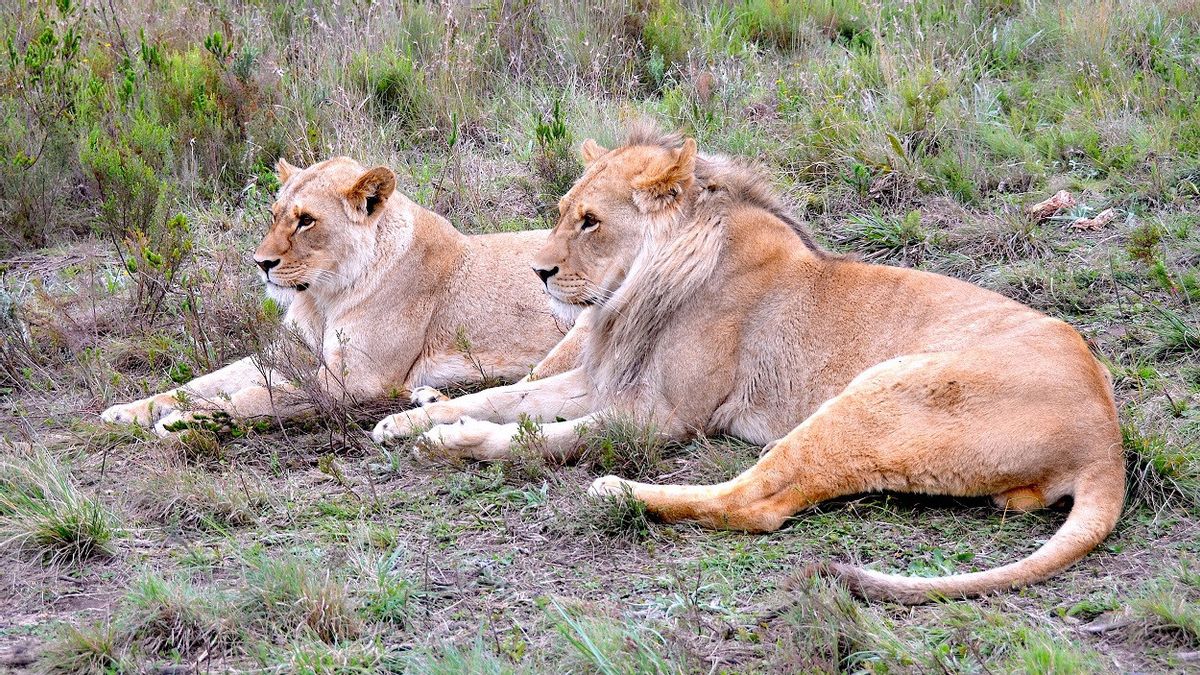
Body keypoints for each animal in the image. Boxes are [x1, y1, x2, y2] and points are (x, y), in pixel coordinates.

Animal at [98, 156, 576, 432]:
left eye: (306, 220)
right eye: (273, 214)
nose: (260, 263)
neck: (322, 296)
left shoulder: (356, 379)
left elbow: (259, 396)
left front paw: (186, 420)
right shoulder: (284, 352)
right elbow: (200, 382)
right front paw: (131, 410)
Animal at [372, 128, 1123, 600]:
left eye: (590, 221)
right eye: (561, 212)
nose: (538, 271)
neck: (642, 285)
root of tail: (1108, 441)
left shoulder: (663, 416)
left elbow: (546, 436)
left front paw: (455, 441)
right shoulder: (600, 377)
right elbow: (504, 399)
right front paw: (408, 423)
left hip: (873, 392)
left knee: (757, 501)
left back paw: (617, 493)